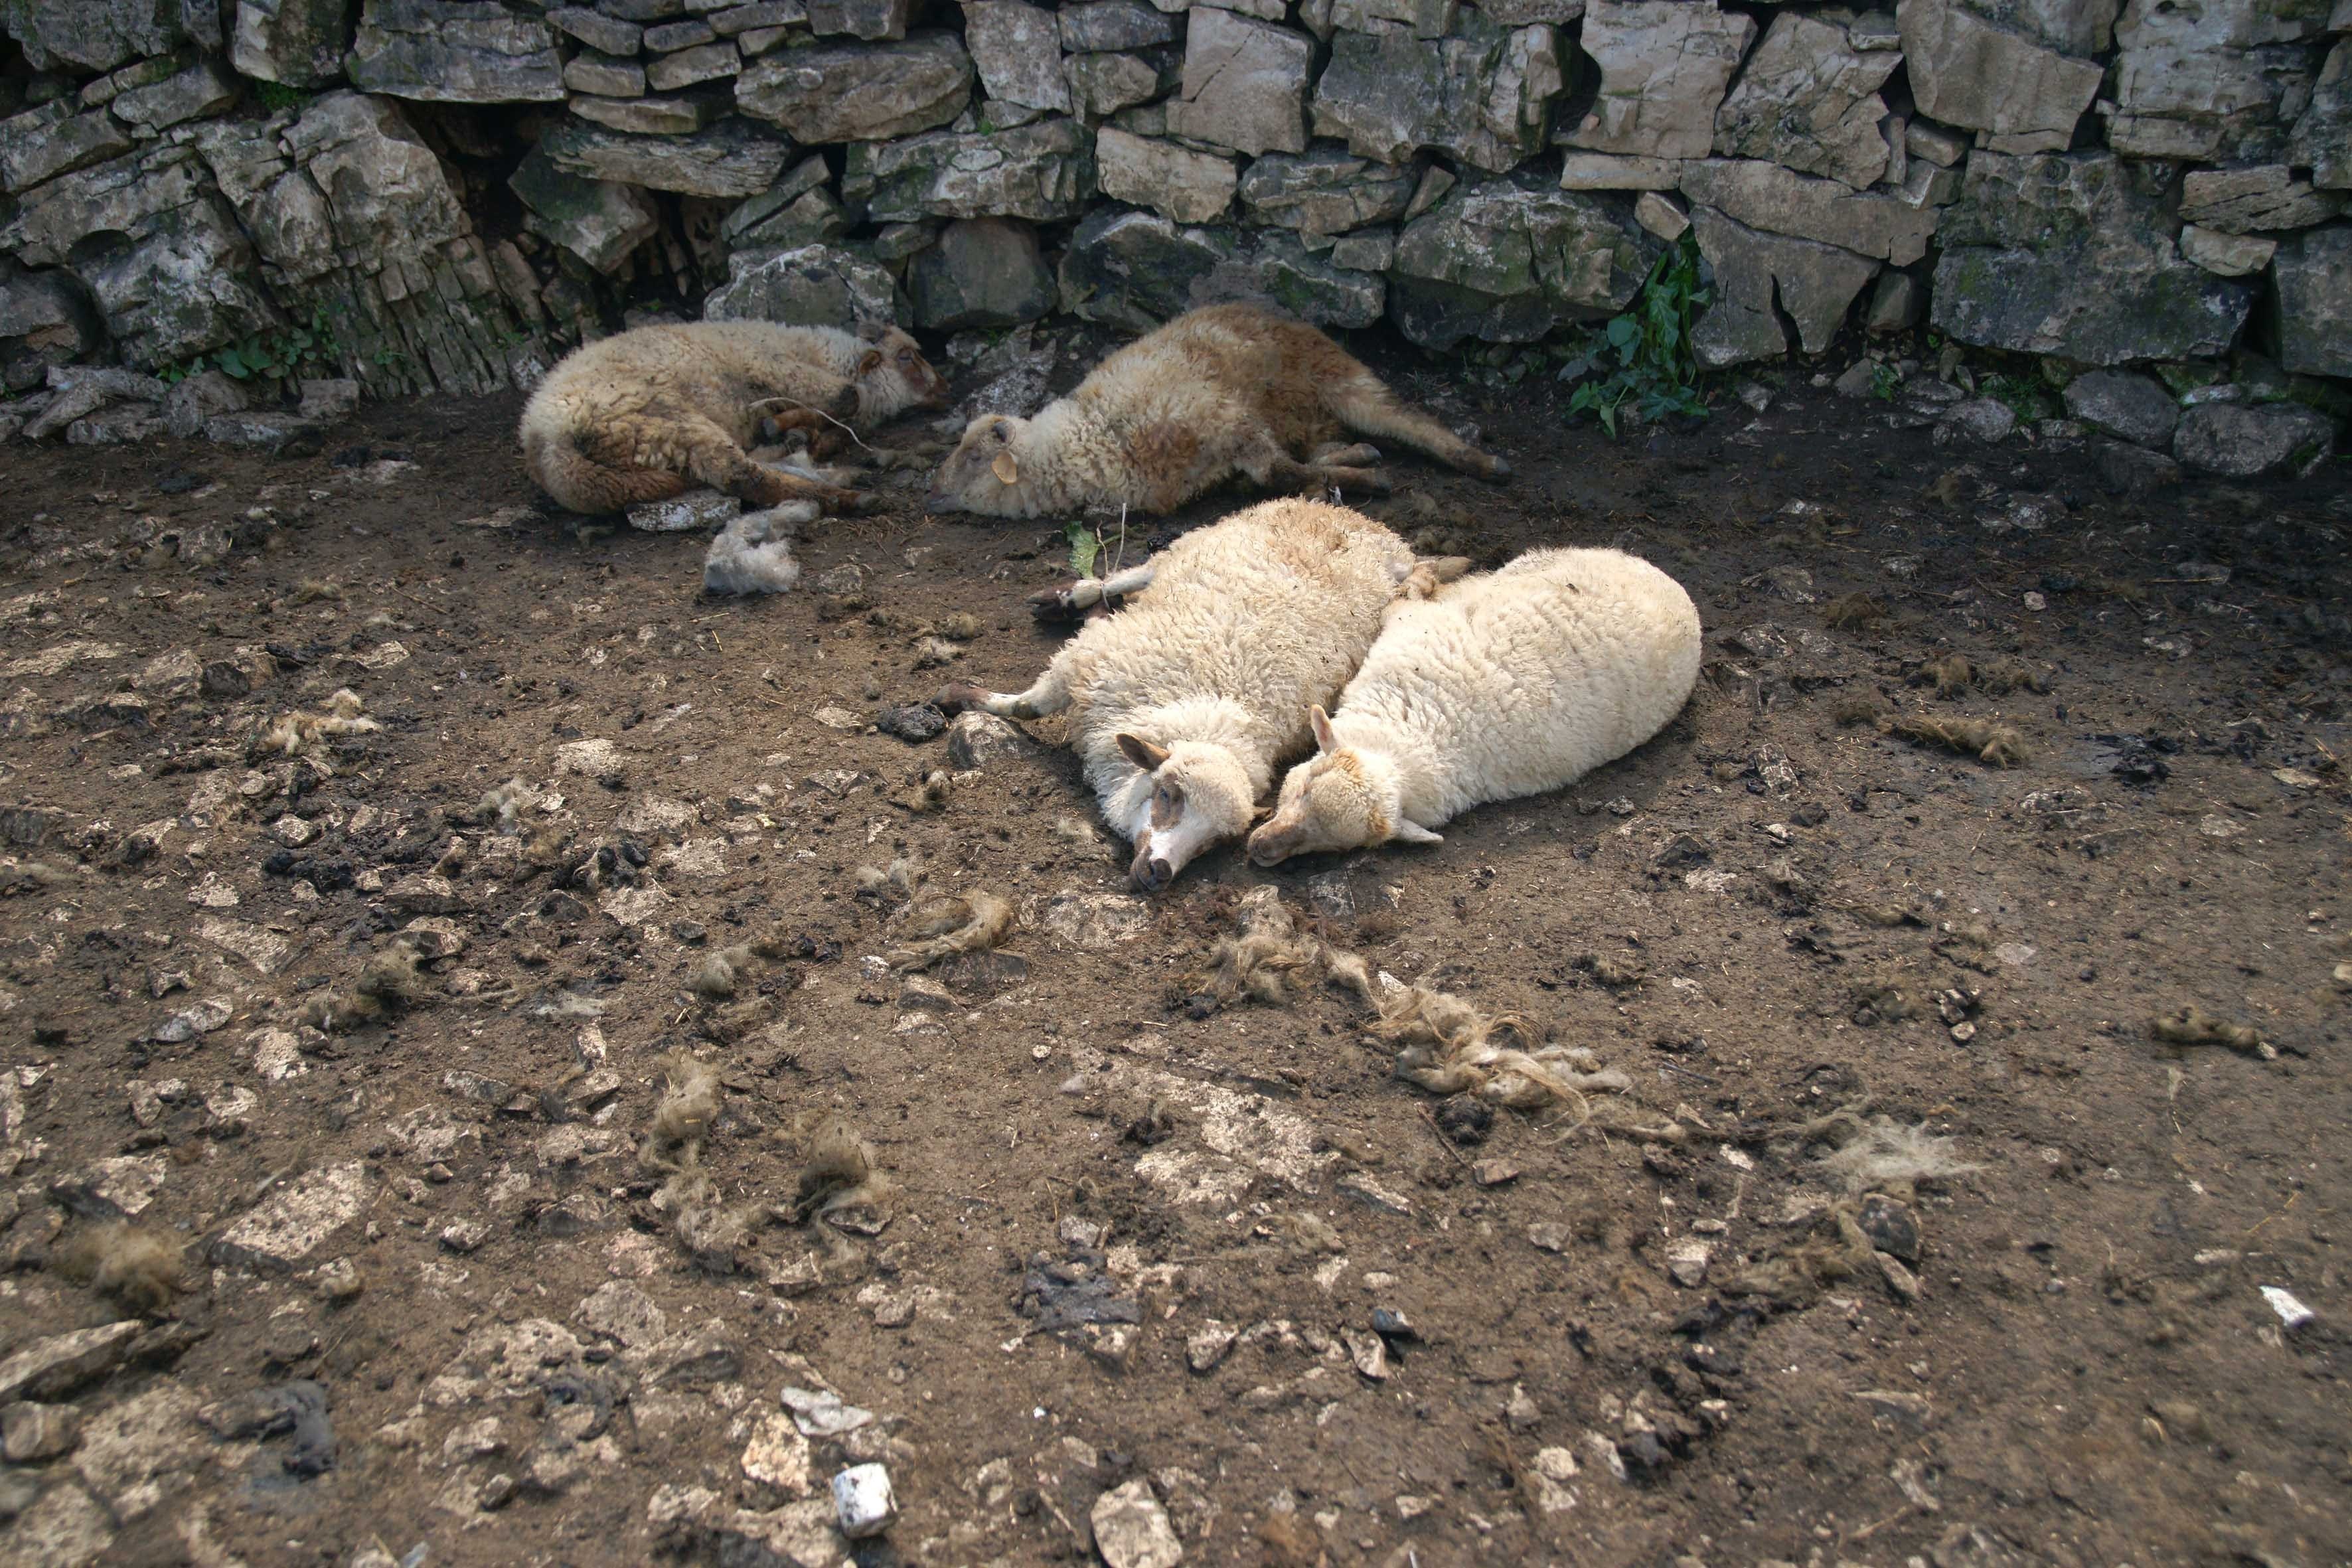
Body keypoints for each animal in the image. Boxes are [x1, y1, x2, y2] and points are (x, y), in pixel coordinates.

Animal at [520, 319, 950, 514]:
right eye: (908, 357)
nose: (947, 388)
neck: (820, 354)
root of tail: (546, 443)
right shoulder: (773, 365)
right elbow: (848, 398)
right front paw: (787, 426)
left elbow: (839, 422)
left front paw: (800, 433)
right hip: (665, 418)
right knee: (743, 477)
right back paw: (850, 497)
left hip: (655, 440)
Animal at [917, 303, 1505, 524]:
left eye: (972, 456)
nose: (930, 486)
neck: (1091, 435)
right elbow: (1282, 474)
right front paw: (1350, 477)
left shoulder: (1227, 420)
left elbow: (1278, 471)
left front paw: (1365, 484)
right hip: (1307, 413)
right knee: (1323, 445)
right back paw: (1356, 454)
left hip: (1336, 375)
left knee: (1407, 419)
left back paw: (1482, 463)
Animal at [931, 503, 1449, 893]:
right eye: (1167, 794)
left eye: (1215, 842)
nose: (1160, 871)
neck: (1210, 697)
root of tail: (1371, 526)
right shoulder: (1083, 665)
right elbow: (1025, 705)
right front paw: (961, 696)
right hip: (1197, 541)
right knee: (1130, 575)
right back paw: (1070, 597)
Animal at [1241, 550, 1703, 870]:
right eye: (1302, 788)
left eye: (1336, 845)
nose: (1261, 848)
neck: (1418, 733)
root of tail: (1681, 593)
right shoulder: (1407, 623)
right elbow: (1406, 596)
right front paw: (1425, 574)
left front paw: (1426, 575)